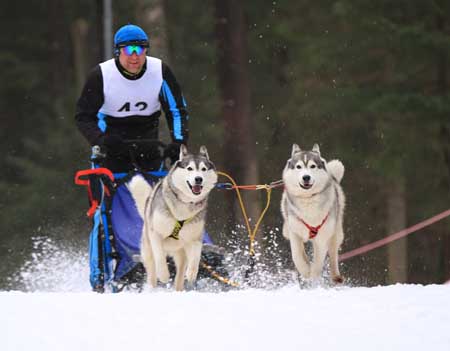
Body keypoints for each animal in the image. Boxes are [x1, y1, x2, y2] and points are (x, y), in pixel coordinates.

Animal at [130, 146, 218, 292]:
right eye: (189, 168)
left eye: (204, 169)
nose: (198, 179)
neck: (185, 204)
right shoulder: (156, 234)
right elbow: (160, 256)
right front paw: (164, 275)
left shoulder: (195, 238)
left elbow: (196, 256)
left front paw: (192, 272)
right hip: (148, 251)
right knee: (152, 272)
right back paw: (152, 288)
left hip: (182, 255)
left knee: (180, 275)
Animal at [282, 143, 344, 284]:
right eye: (298, 166)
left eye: (312, 166)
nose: (306, 177)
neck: (308, 200)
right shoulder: (294, 232)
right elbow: (297, 256)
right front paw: (305, 271)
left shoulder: (322, 237)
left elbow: (318, 263)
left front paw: (313, 277)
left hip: (335, 232)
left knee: (333, 253)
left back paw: (336, 276)